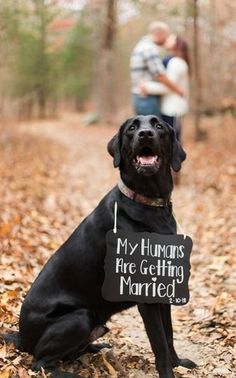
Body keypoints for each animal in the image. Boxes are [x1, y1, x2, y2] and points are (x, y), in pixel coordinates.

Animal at [2, 116, 196, 378]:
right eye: (132, 128)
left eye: (159, 126)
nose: (145, 134)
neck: (148, 203)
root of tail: (21, 338)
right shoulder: (145, 298)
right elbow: (159, 345)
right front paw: (168, 371)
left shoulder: (162, 289)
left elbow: (169, 335)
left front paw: (178, 363)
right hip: (80, 318)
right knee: (40, 363)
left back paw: (97, 347)